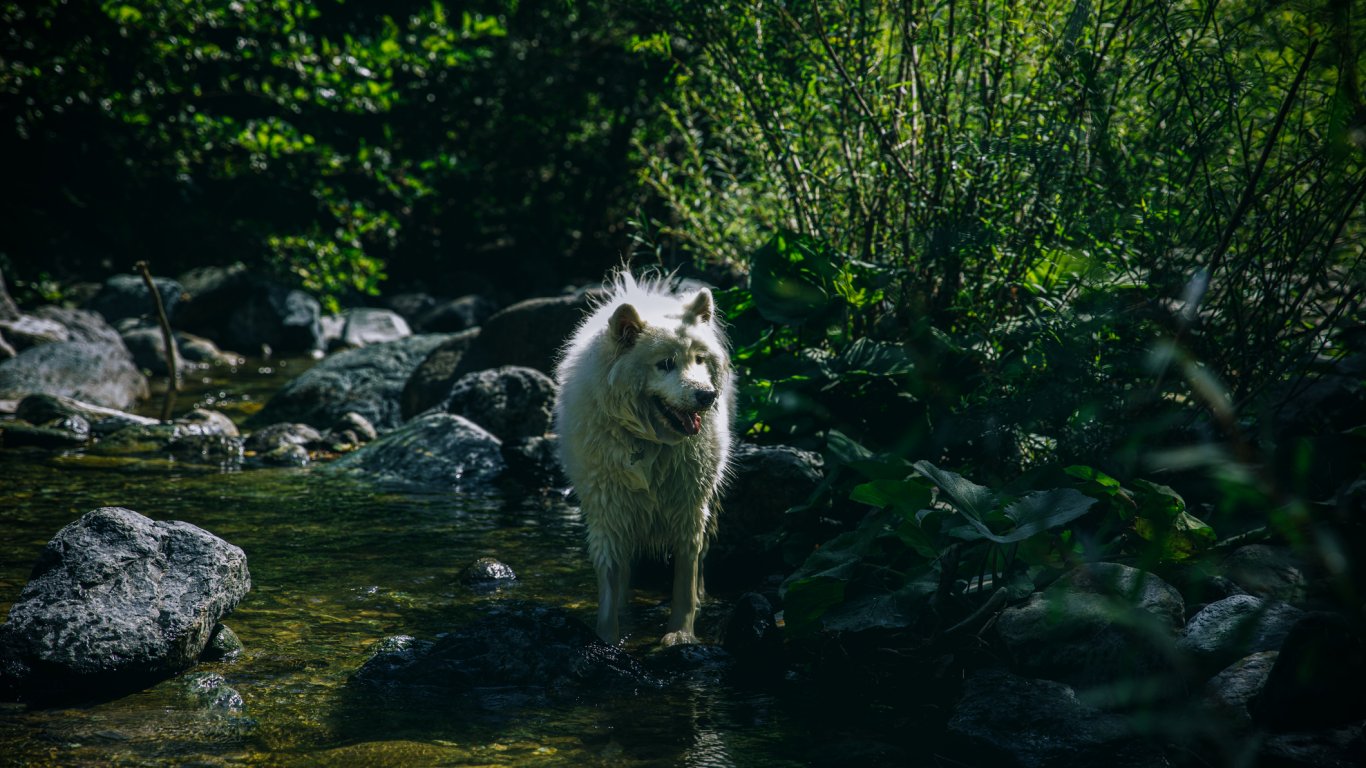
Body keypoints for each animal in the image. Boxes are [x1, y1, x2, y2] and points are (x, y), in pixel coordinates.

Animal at [551, 271, 732, 642]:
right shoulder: (607, 510)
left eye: (699, 360)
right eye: (665, 364)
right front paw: (607, 638)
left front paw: (680, 636)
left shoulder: (689, 508)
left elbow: (685, 579)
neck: (650, 441)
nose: (707, 395)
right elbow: (609, 583)